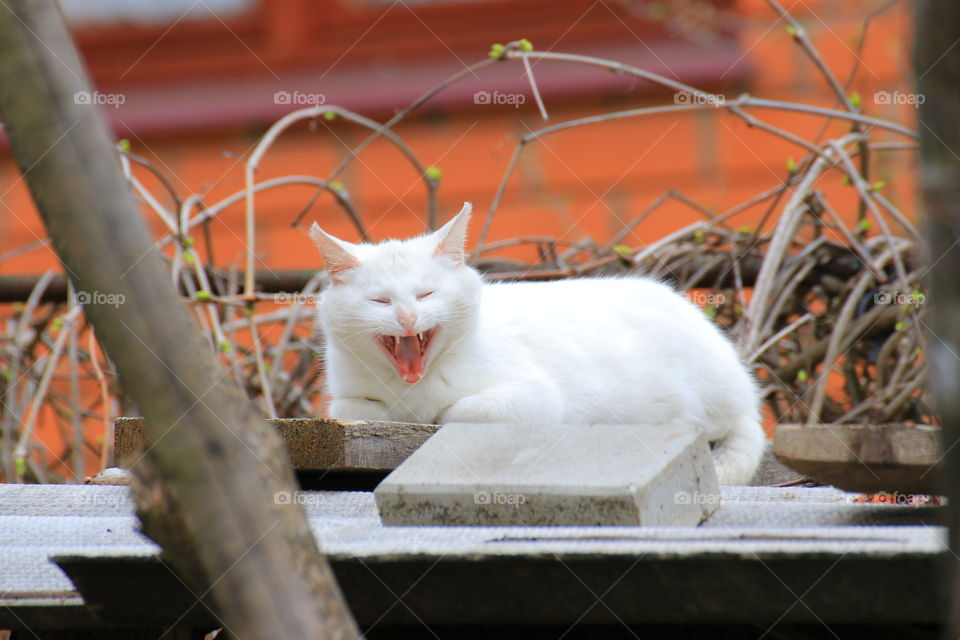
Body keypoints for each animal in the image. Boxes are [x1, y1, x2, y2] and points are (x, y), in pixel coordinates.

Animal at [312, 202, 768, 482]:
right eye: (380, 301)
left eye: (426, 294)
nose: (407, 318)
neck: (414, 387)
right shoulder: (346, 401)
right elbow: (357, 408)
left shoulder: (535, 398)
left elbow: (460, 411)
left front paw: (438, 414)